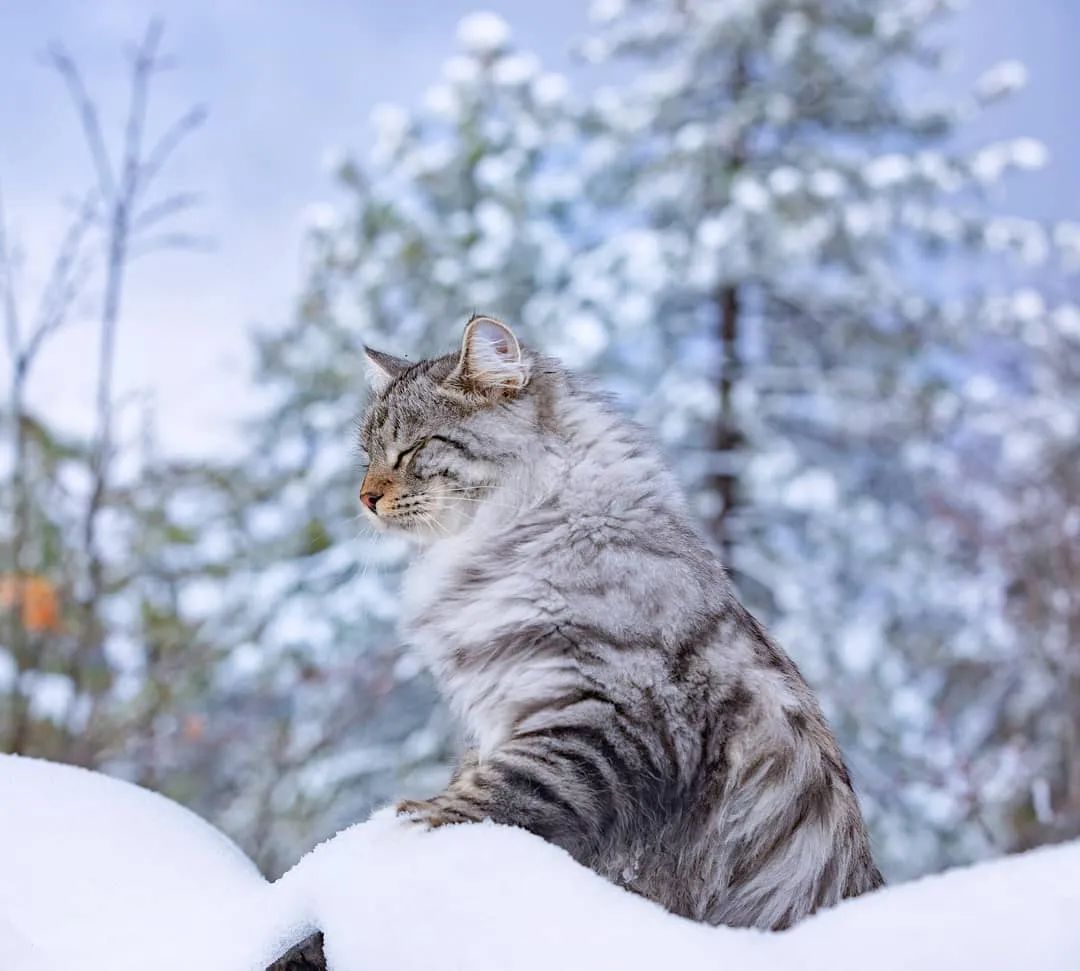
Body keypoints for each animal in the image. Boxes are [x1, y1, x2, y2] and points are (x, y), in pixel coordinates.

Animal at [358, 315, 881, 928]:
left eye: (412, 449)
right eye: (367, 456)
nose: (365, 498)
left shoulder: (607, 716)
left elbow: (500, 791)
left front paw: (411, 820)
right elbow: (477, 774)